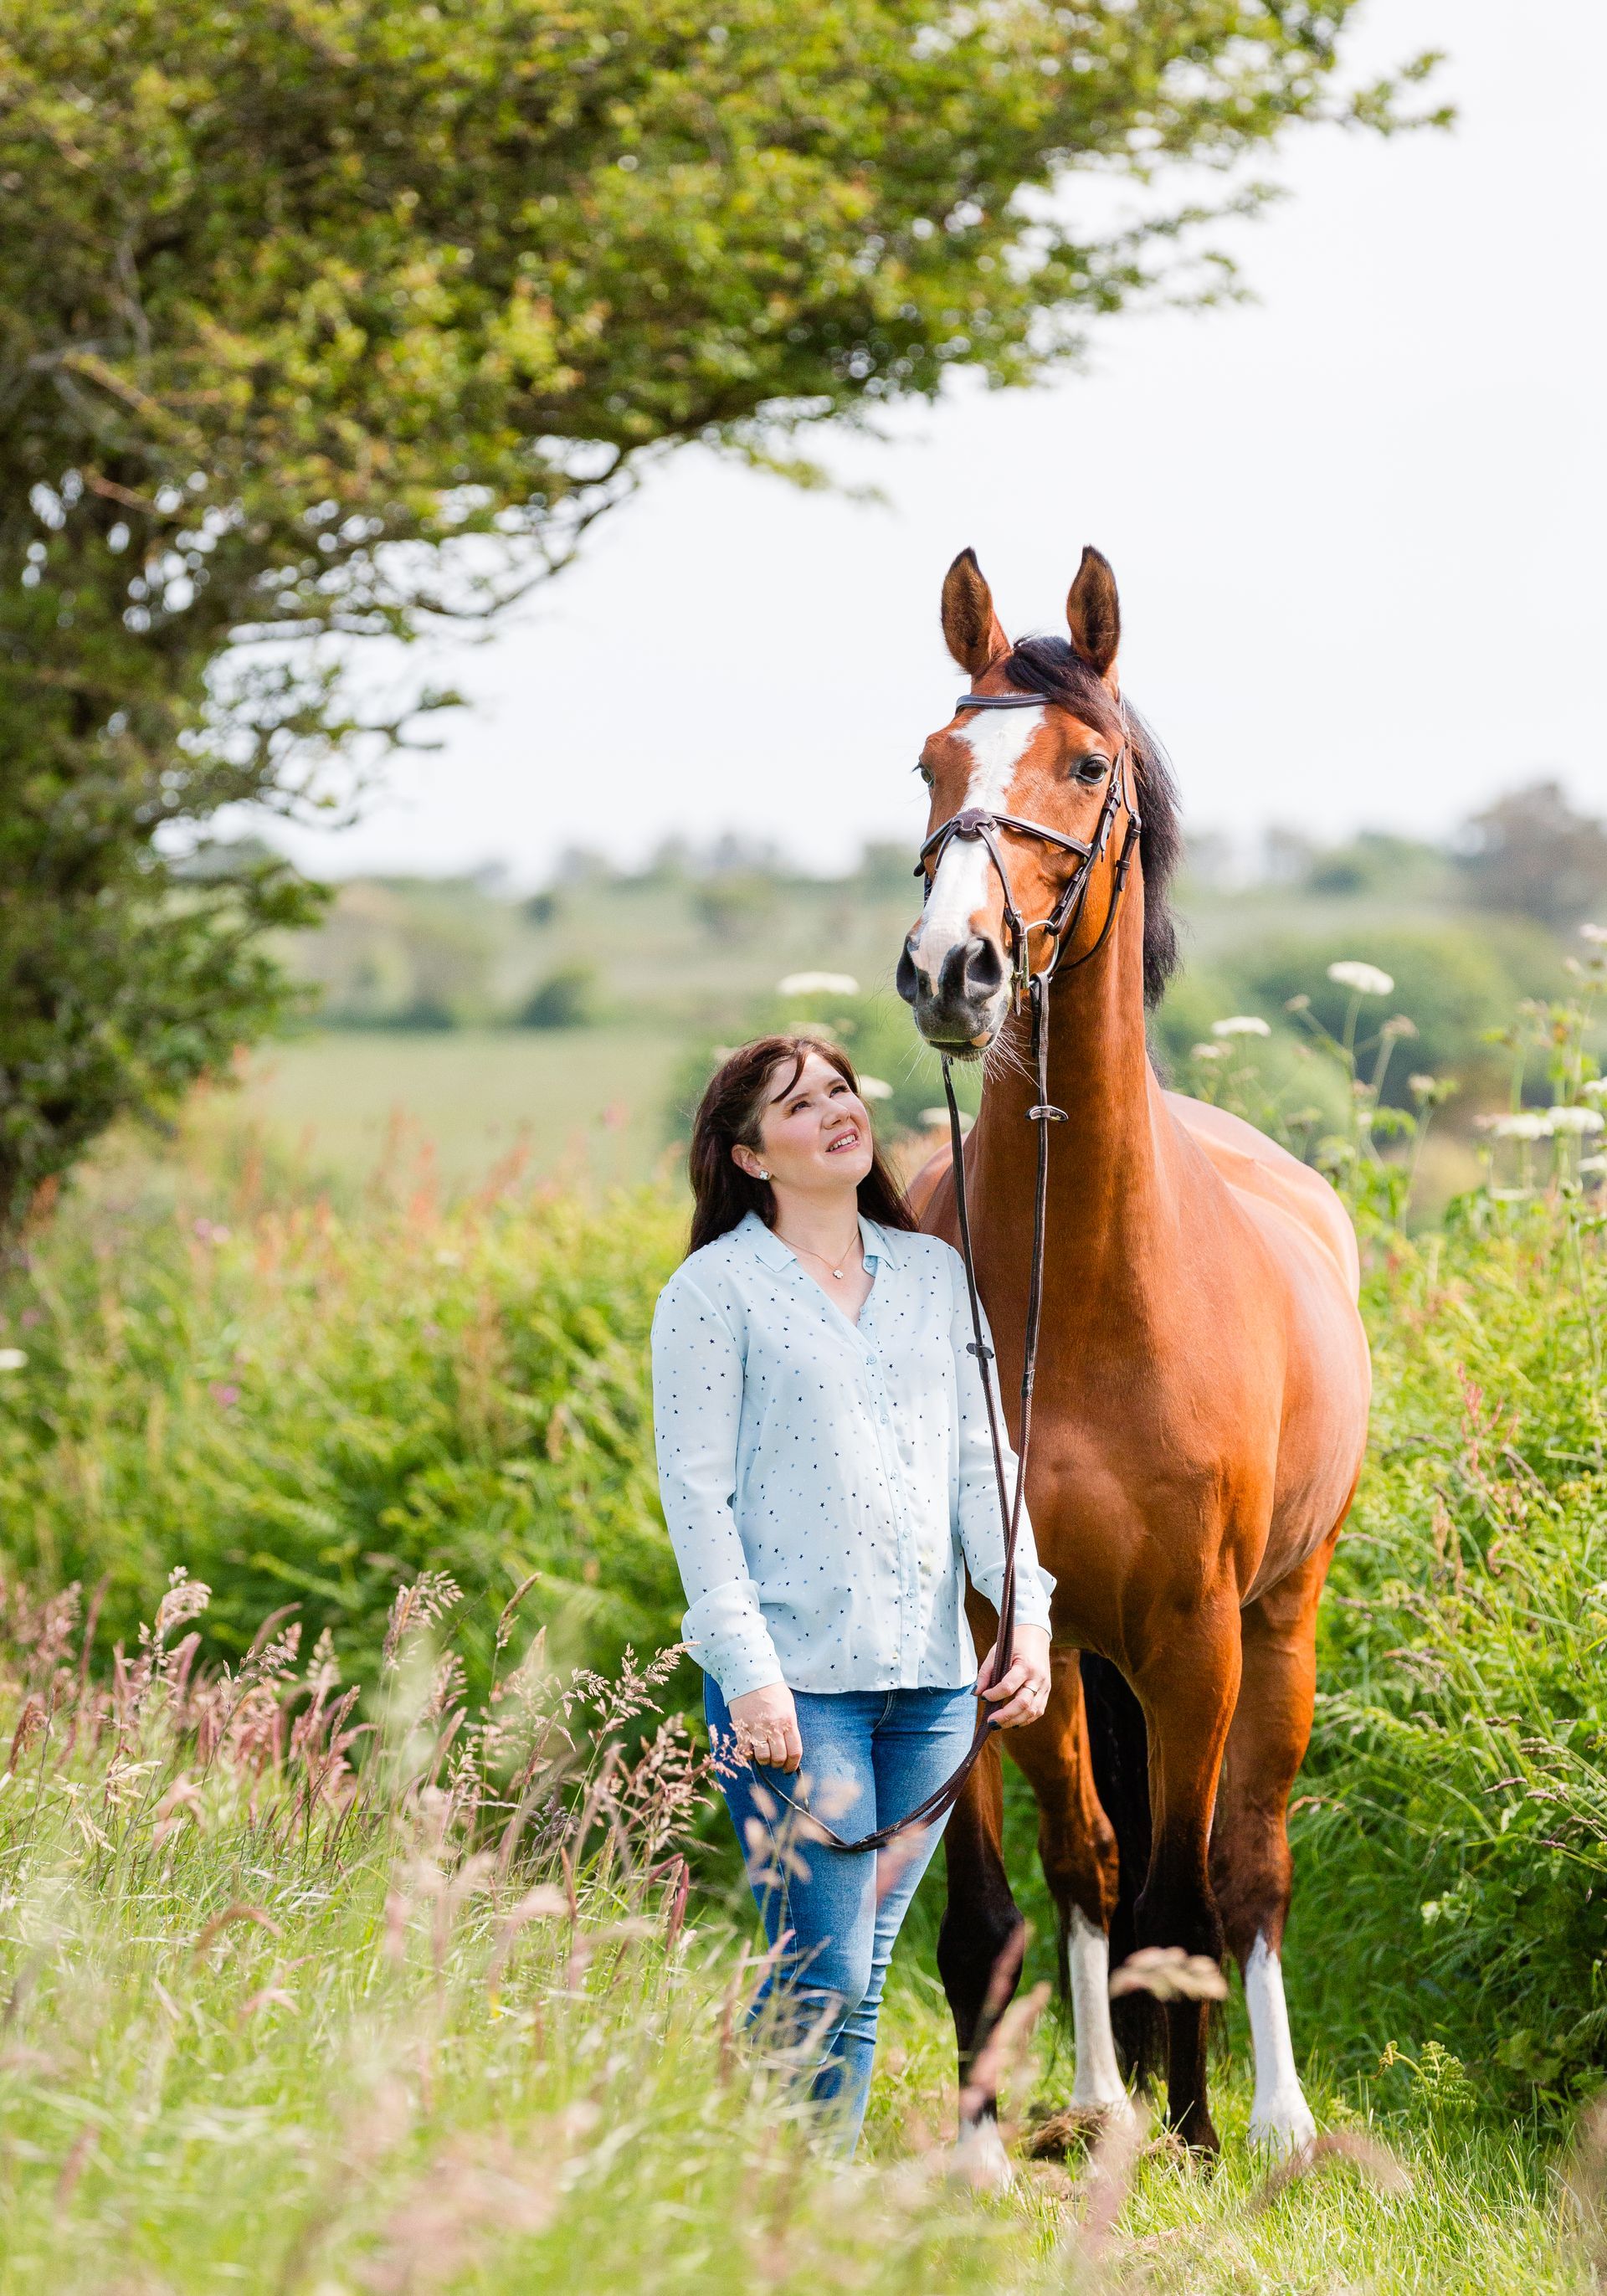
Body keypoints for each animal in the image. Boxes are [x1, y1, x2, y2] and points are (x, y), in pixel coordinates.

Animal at [894, 545, 1371, 2162]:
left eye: (1087, 765)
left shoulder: (1196, 1634)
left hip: (1277, 1628)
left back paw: (1269, 2122)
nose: (954, 969)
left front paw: (1199, 2137)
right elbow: (1020, 1892)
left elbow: (1192, 1893)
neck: (1090, 1291)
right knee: (1094, 1857)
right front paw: (991, 2143)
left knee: (1249, 1864)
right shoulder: (997, 1622)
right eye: (931, 762)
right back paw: (1105, 2096)